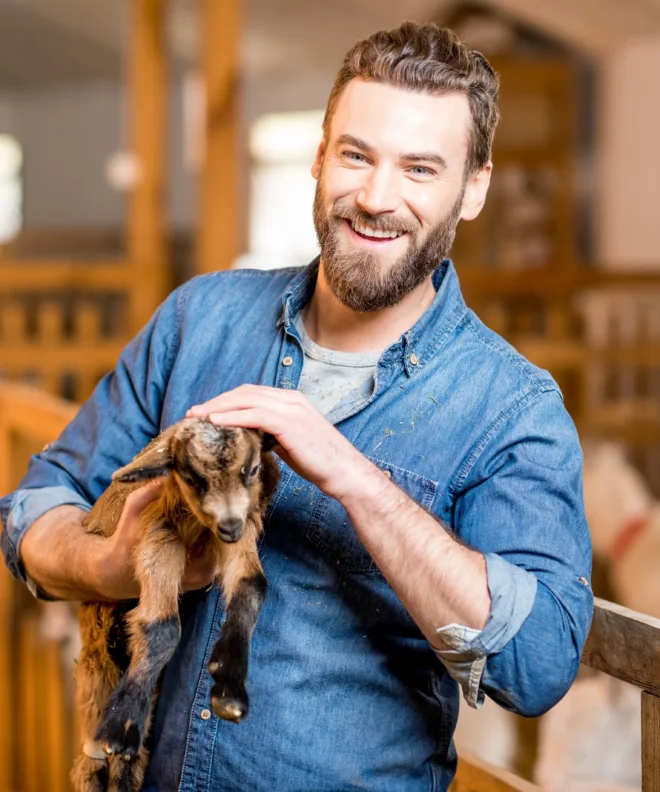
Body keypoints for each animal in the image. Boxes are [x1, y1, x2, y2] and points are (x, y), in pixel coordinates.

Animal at [71, 418, 278, 788]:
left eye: (252, 469)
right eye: (192, 478)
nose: (229, 526)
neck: (202, 527)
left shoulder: (243, 526)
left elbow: (252, 586)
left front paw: (229, 687)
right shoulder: (160, 532)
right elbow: (162, 626)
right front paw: (122, 725)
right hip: (96, 652)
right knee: (90, 754)